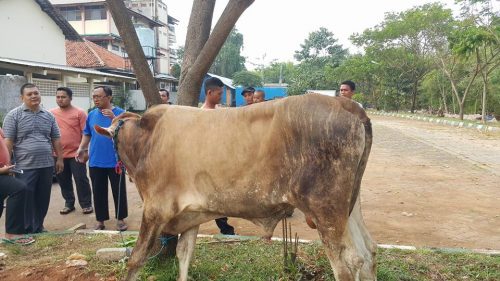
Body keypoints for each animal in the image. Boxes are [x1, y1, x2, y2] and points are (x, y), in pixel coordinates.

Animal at [94, 93, 376, 278]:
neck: (147, 139)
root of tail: (345, 103)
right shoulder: (191, 214)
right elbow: (184, 256)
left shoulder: (155, 210)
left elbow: (136, 259)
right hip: (349, 208)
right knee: (368, 253)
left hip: (325, 209)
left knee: (348, 262)